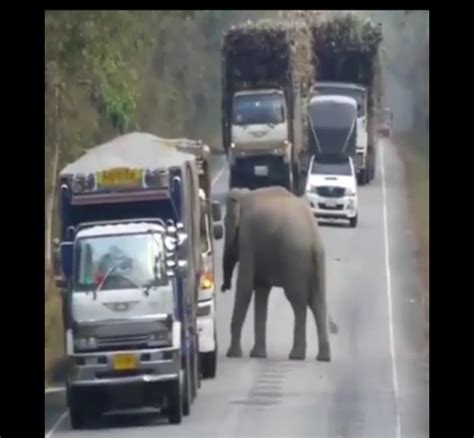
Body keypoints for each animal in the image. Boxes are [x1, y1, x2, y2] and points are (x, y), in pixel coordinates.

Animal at [222, 186, 334, 362]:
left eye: (225, 224)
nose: (224, 287)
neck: (244, 194)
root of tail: (314, 237)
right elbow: (261, 291)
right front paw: (257, 355)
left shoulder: (247, 237)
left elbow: (245, 287)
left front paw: (233, 354)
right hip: (317, 260)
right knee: (317, 302)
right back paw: (323, 357)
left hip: (294, 258)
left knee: (298, 301)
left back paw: (296, 356)